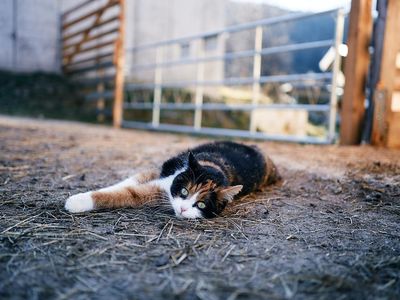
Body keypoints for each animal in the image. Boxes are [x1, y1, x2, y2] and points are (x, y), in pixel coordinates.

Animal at [64, 141, 280, 218]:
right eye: (184, 191)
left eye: (201, 205)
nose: (183, 209)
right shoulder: (163, 171)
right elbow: (127, 183)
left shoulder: (154, 191)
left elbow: (128, 193)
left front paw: (77, 201)